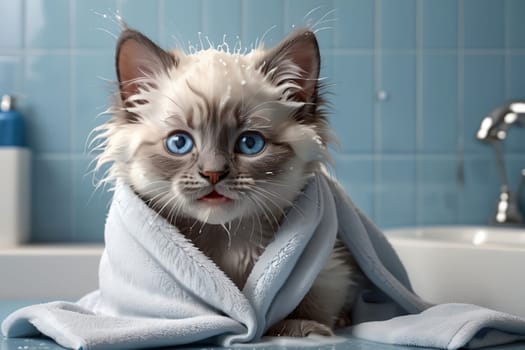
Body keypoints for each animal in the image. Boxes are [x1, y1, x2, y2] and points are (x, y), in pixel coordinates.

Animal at [94, 26, 362, 336]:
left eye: (249, 144)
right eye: (179, 143)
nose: (213, 173)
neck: (226, 240)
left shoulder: (330, 269)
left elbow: (308, 302)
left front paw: (301, 327)